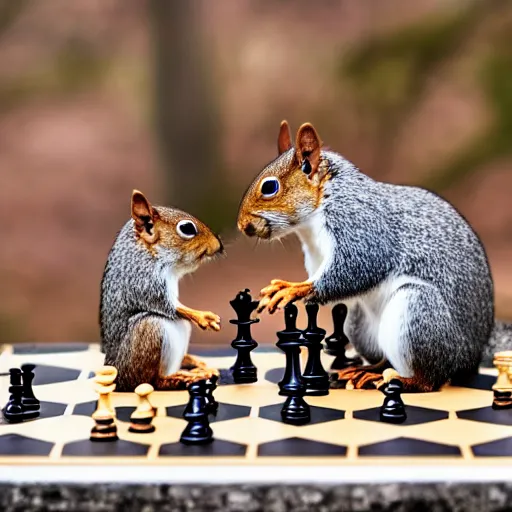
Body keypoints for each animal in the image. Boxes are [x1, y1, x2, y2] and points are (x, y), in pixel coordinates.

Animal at [100, 190, 222, 390]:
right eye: (187, 228)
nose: (219, 246)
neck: (150, 252)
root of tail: (117, 375)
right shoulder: (143, 280)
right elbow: (167, 305)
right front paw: (203, 316)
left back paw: (195, 365)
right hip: (149, 330)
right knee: (152, 381)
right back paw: (185, 377)